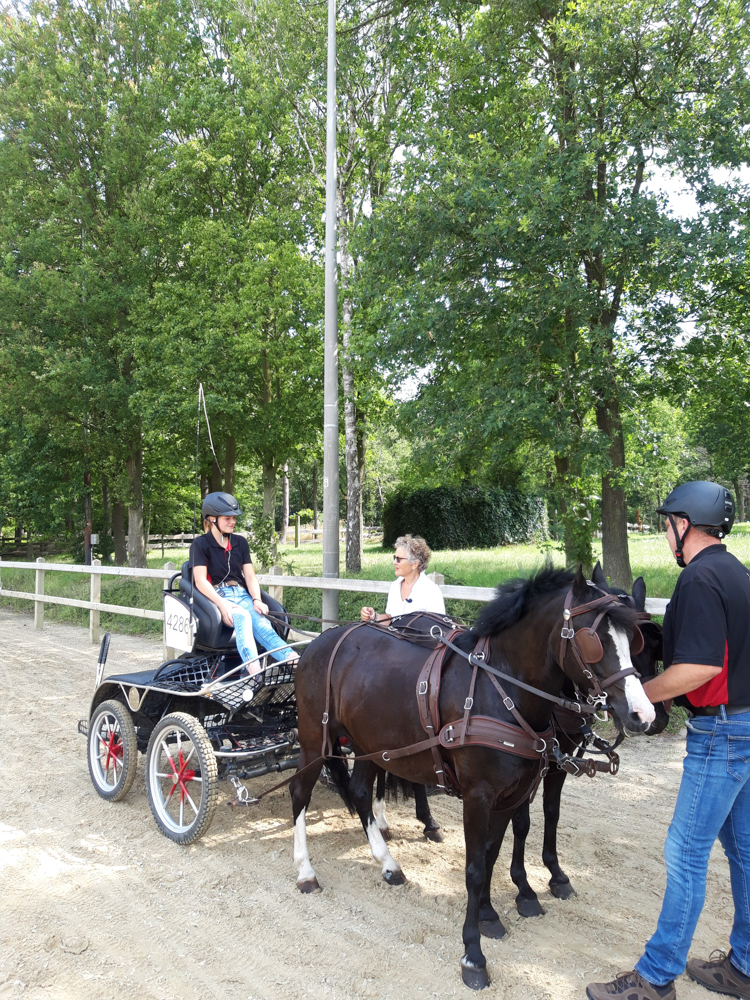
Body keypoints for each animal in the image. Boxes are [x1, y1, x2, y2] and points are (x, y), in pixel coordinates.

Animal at [290, 568, 656, 988]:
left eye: (637, 640)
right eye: (593, 640)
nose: (644, 715)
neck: (502, 689)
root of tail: (321, 640)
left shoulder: (513, 792)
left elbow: (494, 850)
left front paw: (491, 913)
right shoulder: (478, 796)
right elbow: (476, 870)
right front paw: (473, 954)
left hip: (371, 744)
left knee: (362, 792)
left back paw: (387, 863)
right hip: (315, 740)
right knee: (299, 792)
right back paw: (305, 871)